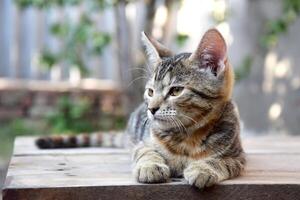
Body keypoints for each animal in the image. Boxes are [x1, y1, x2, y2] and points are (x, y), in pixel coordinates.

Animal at [126, 28, 246, 188]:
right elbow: (146, 152)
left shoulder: (236, 156)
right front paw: (150, 166)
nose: (151, 108)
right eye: (150, 92)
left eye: (176, 90)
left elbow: (221, 161)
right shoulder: (143, 143)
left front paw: (203, 169)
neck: (188, 136)